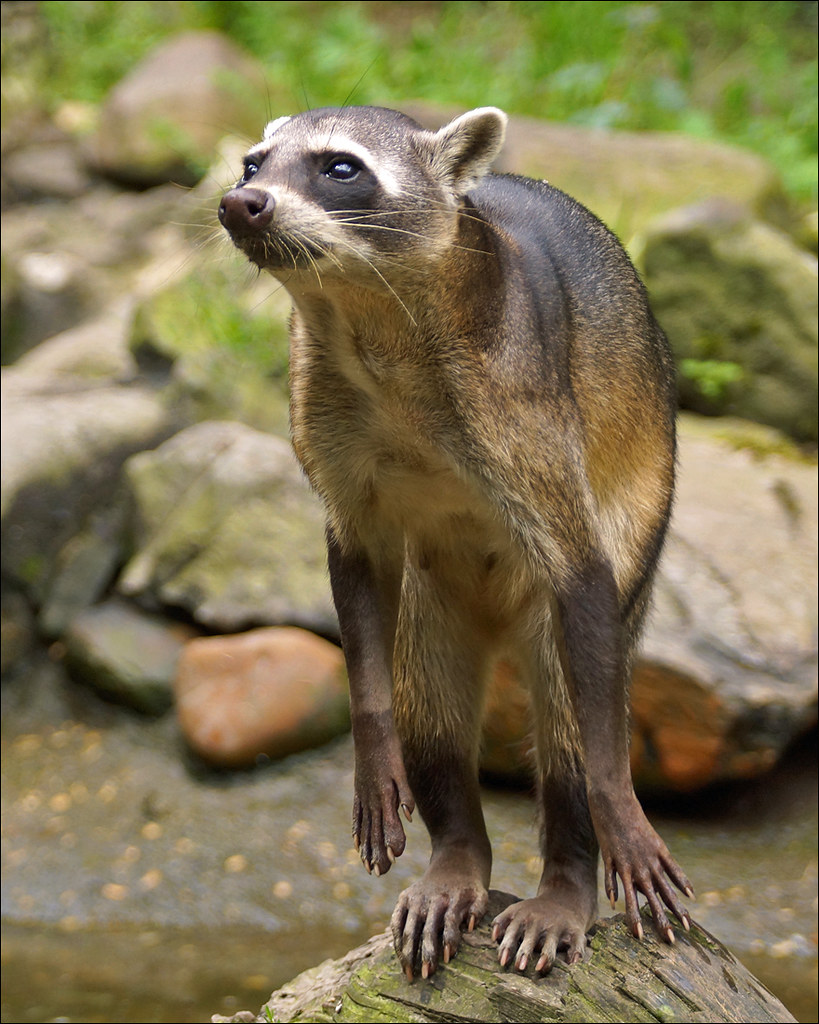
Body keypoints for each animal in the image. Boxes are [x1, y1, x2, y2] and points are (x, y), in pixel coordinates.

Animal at [219, 105, 693, 980]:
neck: (366, 321)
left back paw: (565, 876)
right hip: (433, 603)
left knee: (570, 717)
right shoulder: (324, 414)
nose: (242, 203)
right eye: (251, 164)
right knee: (429, 708)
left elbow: (578, 569)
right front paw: (375, 746)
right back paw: (458, 856)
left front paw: (613, 808)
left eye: (340, 167)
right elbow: (358, 561)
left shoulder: (523, 404)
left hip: (635, 545)